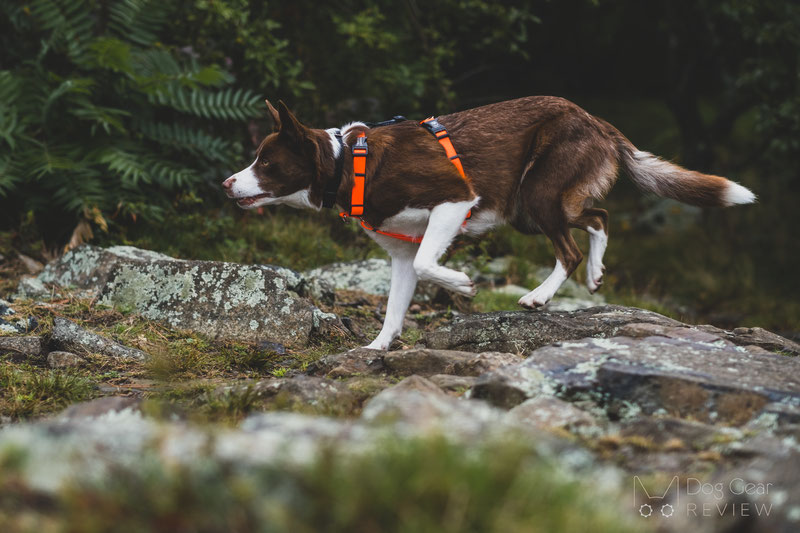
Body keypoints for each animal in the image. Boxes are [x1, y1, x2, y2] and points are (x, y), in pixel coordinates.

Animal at [220, 97, 756, 352]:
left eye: (266, 162)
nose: (226, 184)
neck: (346, 164)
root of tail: (597, 121)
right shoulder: (399, 254)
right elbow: (395, 307)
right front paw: (375, 347)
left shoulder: (454, 200)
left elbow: (430, 262)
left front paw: (463, 283)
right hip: (530, 207)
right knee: (598, 218)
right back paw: (595, 274)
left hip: (536, 195)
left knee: (570, 246)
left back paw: (540, 296)